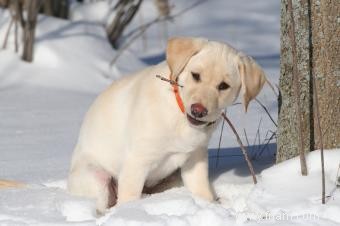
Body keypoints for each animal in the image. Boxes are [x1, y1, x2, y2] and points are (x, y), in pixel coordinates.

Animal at [67, 36, 266, 214]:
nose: (198, 111)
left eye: (224, 86)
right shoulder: (136, 162)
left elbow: (201, 190)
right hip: (97, 177)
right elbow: (129, 197)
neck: (179, 113)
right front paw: (130, 212)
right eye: (195, 75)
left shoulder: (195, 158)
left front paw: (210, 206)